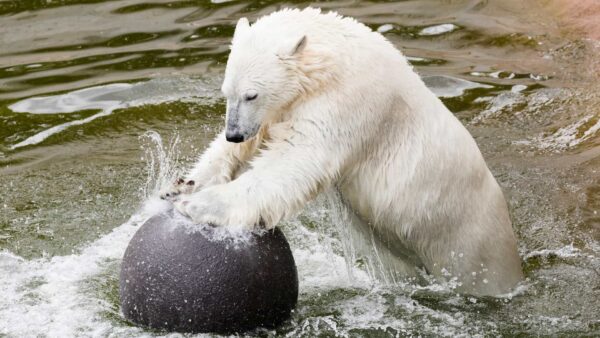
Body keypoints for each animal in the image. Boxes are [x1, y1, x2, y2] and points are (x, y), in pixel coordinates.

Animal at [166, 6, 524, 294]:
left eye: (251, 94)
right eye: (227, 92)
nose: (234, 134)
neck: (334, 55)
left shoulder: (346, 101)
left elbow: (296, 160)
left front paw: (199, 204)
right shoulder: (287, 107)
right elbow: (261, 141)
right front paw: (183, 185)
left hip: (469, 239)